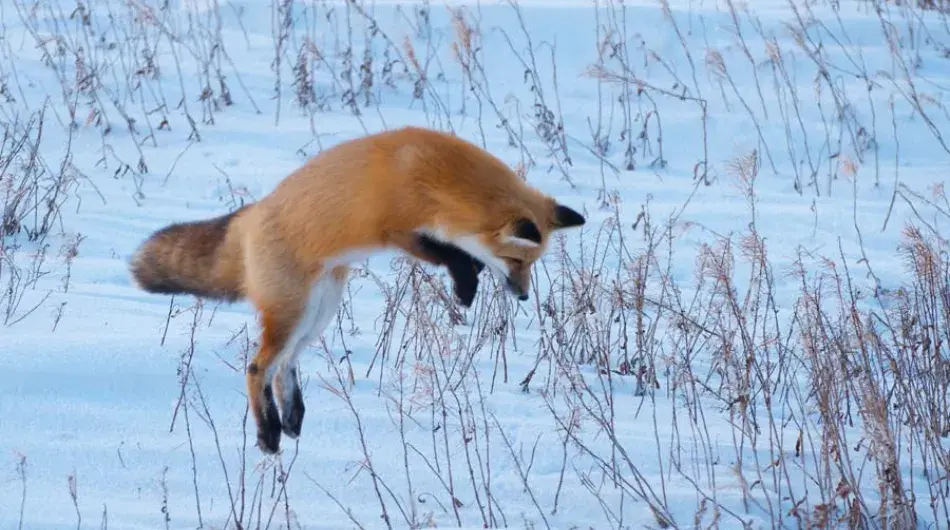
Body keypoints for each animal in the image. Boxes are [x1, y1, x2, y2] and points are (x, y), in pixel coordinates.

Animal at [129, 126, 585, 454]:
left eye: (532, 265)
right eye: (517, 262)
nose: (522, 296)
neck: (437, 174)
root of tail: (250, 215)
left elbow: (459, 252)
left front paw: (468, 278)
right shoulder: (397, 228)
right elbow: (447, 254)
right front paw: (466, 286)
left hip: (320, 310)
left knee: (285, 365)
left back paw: (291, 419)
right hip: (295, 310)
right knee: (258, 368)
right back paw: (268, 435)